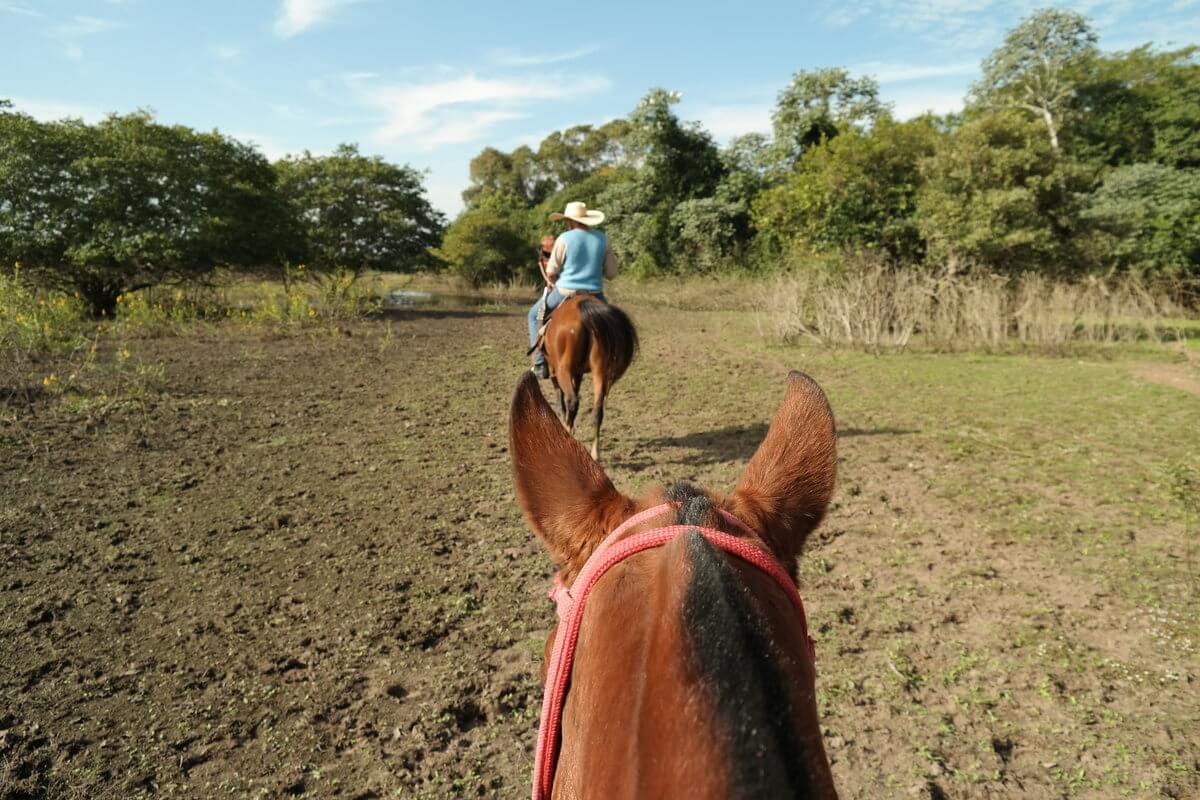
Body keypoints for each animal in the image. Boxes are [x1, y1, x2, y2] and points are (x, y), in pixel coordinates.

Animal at [540, 293, 643, 460]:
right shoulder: (578, 373)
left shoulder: (555, 372)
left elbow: (560, 397)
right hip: (600, 371)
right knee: (597, 410)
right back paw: (595, 453)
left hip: (564, 370)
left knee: (572, 401)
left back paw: (567, 434)